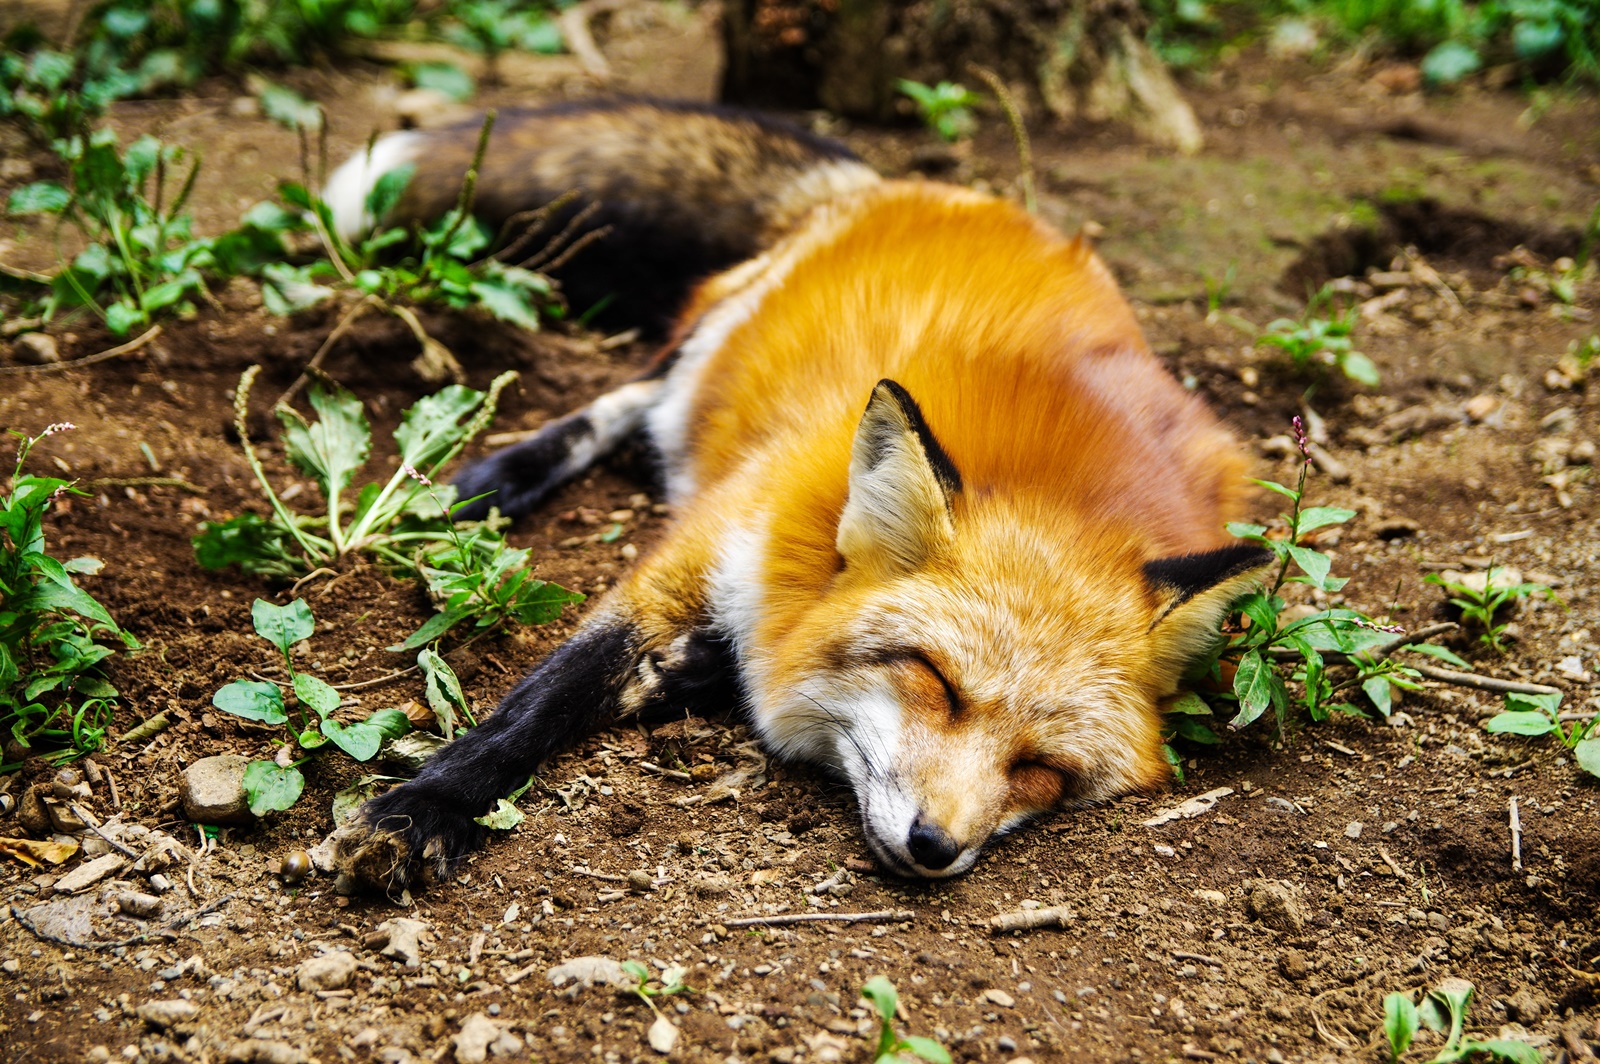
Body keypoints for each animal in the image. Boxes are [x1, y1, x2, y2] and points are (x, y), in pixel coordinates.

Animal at [328, 97, 1273, 889]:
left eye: (1042, 768)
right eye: (936, 682)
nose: (937, 847)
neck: (1061, 490)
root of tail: (918, 186)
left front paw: (690, 670)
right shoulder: (705, 541)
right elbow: (542, 699)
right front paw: (425, 808)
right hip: (714, 333)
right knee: (635, 394)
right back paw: (497, 480)